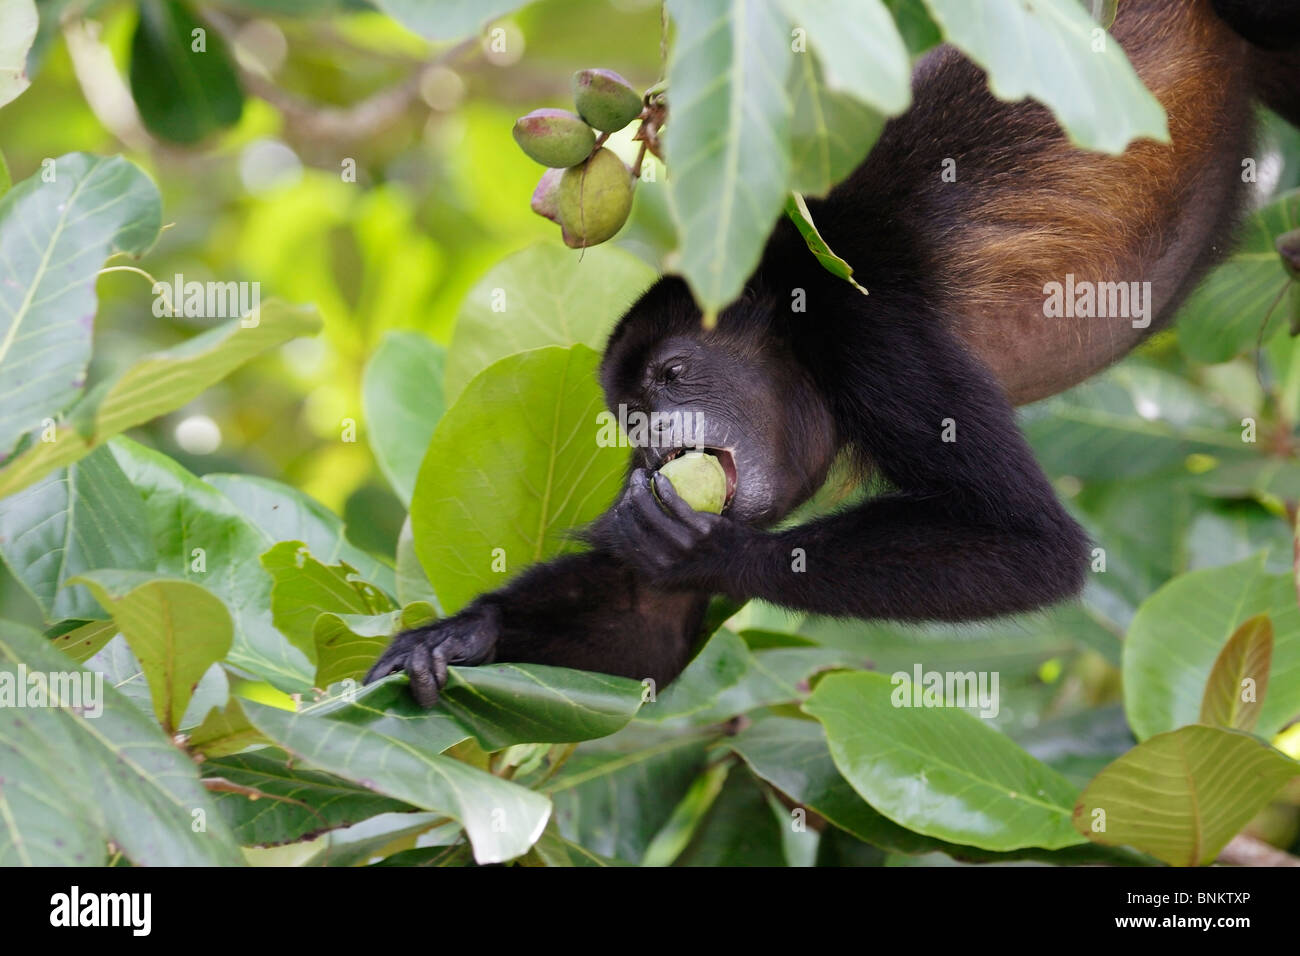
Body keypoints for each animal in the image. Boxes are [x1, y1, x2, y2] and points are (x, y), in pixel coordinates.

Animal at [366, 0, 1300, 702]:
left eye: (674, 374)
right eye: (629, 413)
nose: (655, 444)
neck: (793, 326)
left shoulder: (869, 333)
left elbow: (1032, 545)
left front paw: (711, 551)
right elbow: (647, 629)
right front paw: (462, 630)